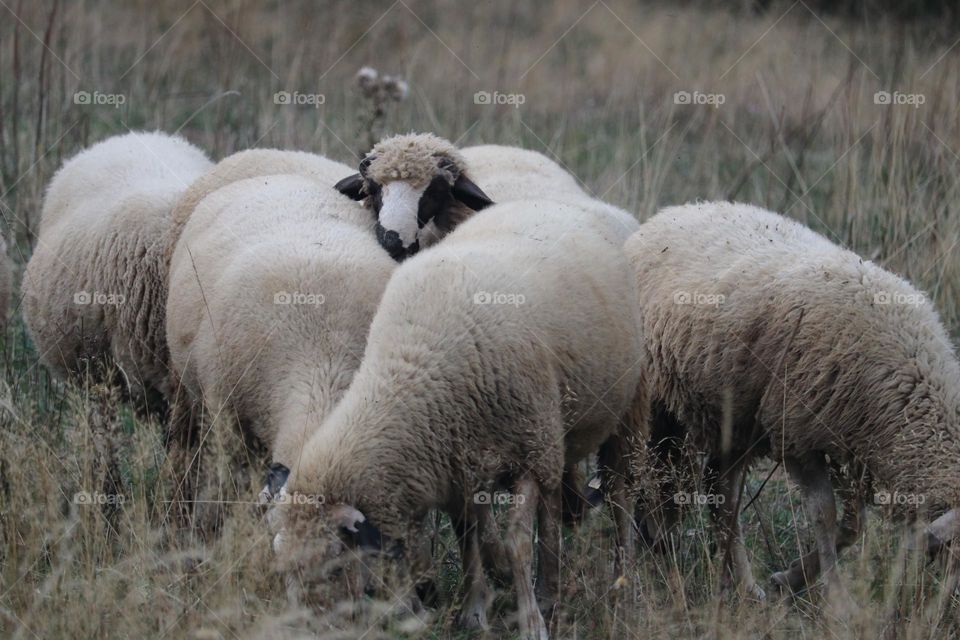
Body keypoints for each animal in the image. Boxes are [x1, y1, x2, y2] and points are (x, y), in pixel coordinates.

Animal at [271, 196, 647, 640]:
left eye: (332, 565)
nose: (298, 630)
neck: (412, 368)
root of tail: (591, 202)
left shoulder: (527, 449)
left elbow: (517, 544)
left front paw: (531, 623)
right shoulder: (455, 466)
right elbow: (470, 540)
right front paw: (474, 611)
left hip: (625, 409)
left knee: (621, 496)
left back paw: (624, 583)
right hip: (555, 433)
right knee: (555, 505)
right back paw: (551, 588)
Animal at [624, 201, 960, 610]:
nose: (942, 612)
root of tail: (674, 211)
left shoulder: (850, 442)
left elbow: (854, 525)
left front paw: (790, 579)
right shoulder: (797, 433)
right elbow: (825, 516)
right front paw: (837, 600)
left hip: (736, 420)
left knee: (723, 500)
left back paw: (743, 585)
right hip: (657, 403)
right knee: (651, 475)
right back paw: (653, 550)